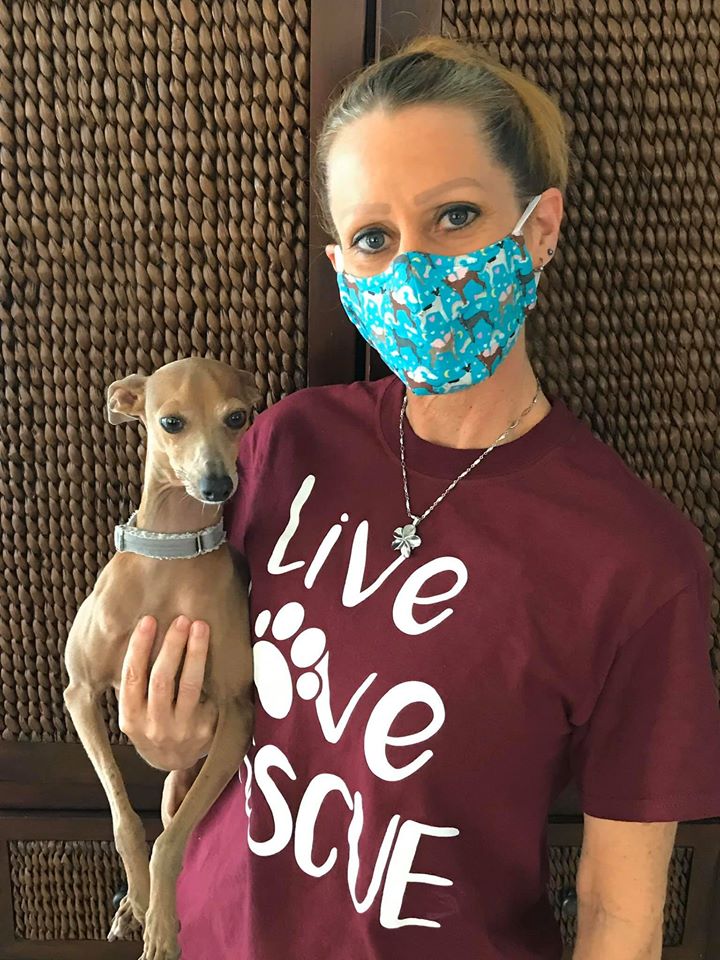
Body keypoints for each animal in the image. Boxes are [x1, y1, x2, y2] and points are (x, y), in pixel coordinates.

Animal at [63, 356, 260, 960]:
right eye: (171, 422)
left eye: (237, 417)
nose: (218, 485)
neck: (169, 556)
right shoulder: (79, 693)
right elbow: (125, 819)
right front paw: (140, 903)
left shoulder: (237, 715)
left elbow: (169, 843)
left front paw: (163, 927)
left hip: (189, 780)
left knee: (179, 824)